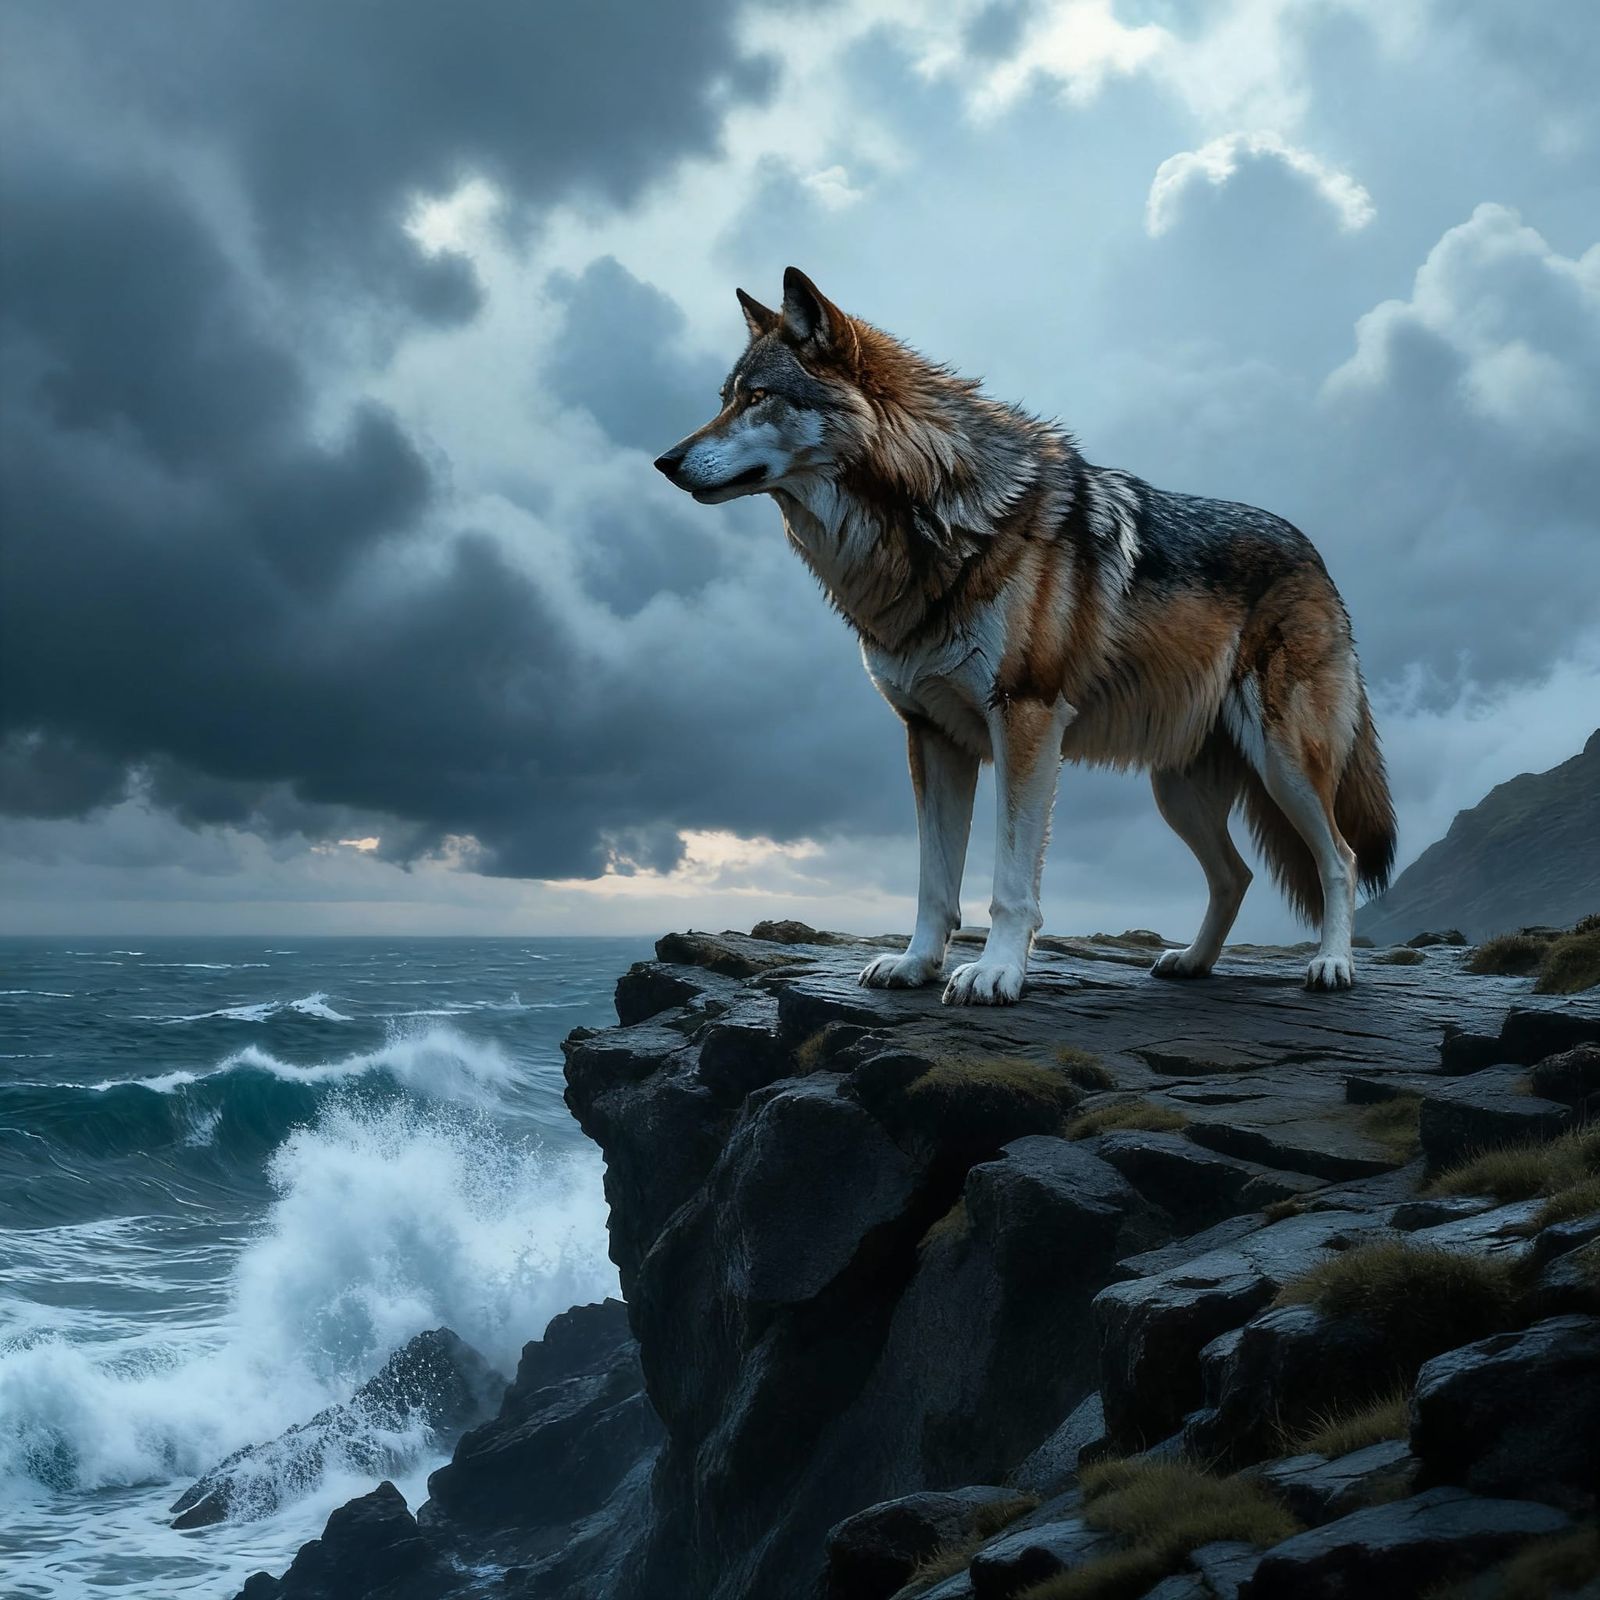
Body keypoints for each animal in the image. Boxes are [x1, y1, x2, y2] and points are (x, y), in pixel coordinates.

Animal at [655, 269, 1396, 1004]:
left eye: (757, 398)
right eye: (725, 399)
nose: (665, 460)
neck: (930, 524)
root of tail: (1314, 555)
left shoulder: (1026, 721)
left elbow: (1010, 882)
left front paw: (996, 973)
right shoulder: (931, 734)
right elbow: (933, 881)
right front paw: (916, 964)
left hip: (1284, 765)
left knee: (1340, 858)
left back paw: (1332, 966)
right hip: (1177, 792)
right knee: (1234, 876)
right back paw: (1191, 962)